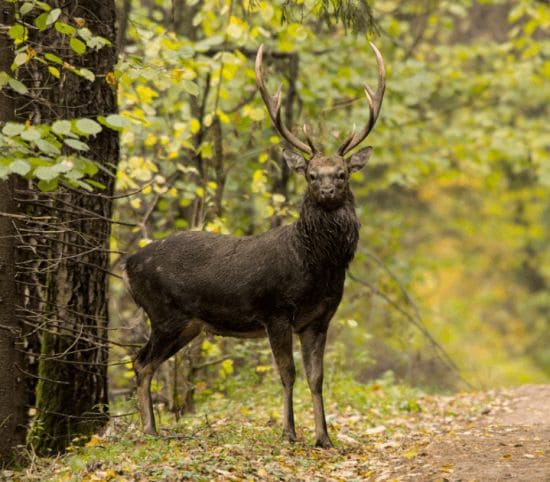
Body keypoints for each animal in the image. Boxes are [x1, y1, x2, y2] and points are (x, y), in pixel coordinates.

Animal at [123, 42, 386, 448]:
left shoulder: (321, 317)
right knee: (139, 361)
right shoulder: (275, 310)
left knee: (144, 361)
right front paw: (289, 432)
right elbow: (287, 372)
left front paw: (324, 438)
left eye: (341, 174)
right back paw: (150, 429)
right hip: (163, 312)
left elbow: (317, 377)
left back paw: (152, 428)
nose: (327, 189)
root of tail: (128, 263)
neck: (315, 265)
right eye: (311, 175)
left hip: (188, 325)